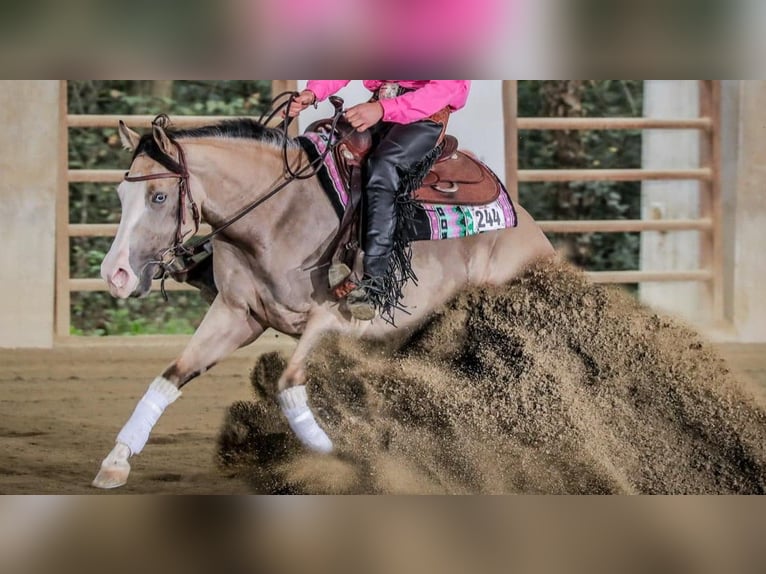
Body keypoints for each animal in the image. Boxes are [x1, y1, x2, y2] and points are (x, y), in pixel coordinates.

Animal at [93, 106, 556, 488]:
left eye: (159, 196)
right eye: (120, 195)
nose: (115, 274)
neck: (278, 216)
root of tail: (533, 233)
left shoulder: (335, 319)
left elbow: (288, 383)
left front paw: (333, 453)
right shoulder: (236, 314)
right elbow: (170, 376)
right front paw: (116, 461)